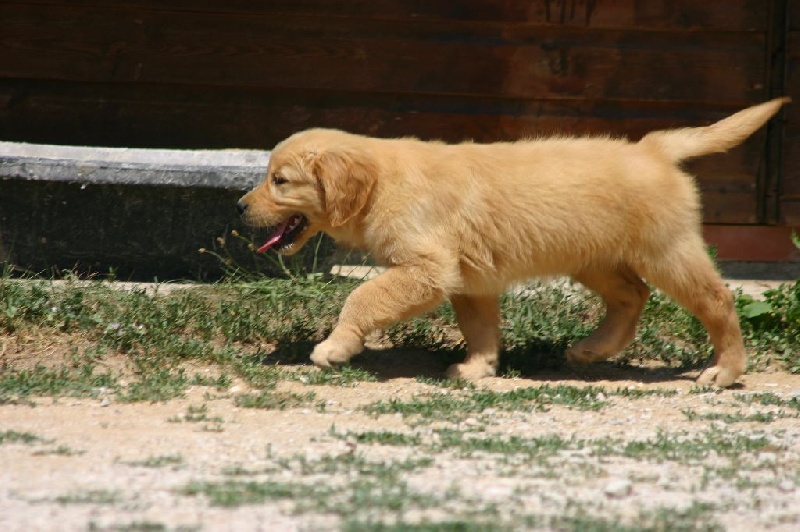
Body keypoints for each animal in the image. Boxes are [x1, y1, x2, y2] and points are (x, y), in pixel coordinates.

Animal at [237, 98, 789, 387]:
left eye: (279, 181)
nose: (240, 206)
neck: (382, 183)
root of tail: (653, 148)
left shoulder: (426, 267)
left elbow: (362, 296)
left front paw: (335, 347)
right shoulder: (468, 277)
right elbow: (479, 326)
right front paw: (478, 368)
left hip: (667, 250)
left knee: (717, 299)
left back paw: (725, 371)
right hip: (593, 256)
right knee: (633, 295)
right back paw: (592, 349)